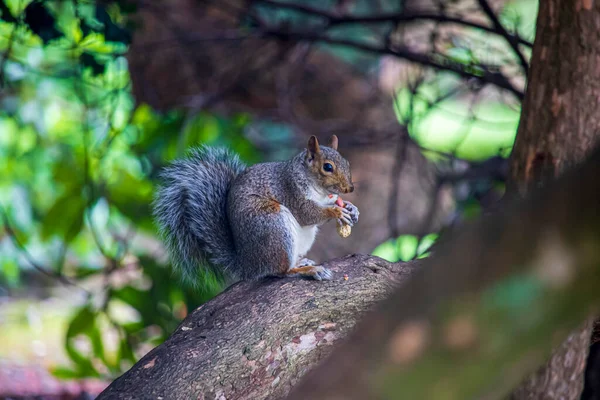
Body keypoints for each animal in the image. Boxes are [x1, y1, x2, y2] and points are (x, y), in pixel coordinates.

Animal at [152, 135, 358, 284]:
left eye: (347, 163)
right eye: (327, 167)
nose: (350, 189)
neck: (320, 192)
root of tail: (248, 264)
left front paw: (352, 208)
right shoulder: (290, 190)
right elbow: (307, 214)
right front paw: (336, 212)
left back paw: (302, 262)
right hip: (273, 225)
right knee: (280, 271)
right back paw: (308, 270)